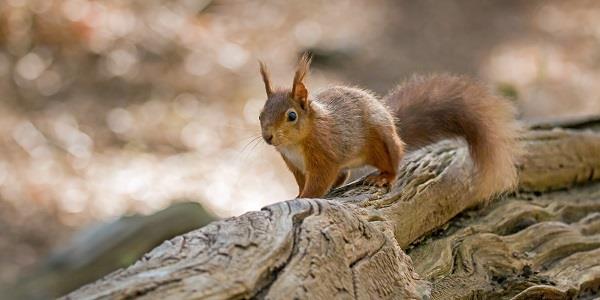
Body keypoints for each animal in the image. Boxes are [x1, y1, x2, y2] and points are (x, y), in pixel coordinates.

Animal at [258, 54, 520, 199]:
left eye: (292, 116)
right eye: (260, 114)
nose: (268, 137)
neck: (295, 143)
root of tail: (394, 125)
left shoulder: (325, 154)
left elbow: (319, 181)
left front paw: (303, 198)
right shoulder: (294, 165)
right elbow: (304, 182)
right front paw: (297, 194)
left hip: (382, 143)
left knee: (394, 164)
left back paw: (383, 177)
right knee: (343, 174)